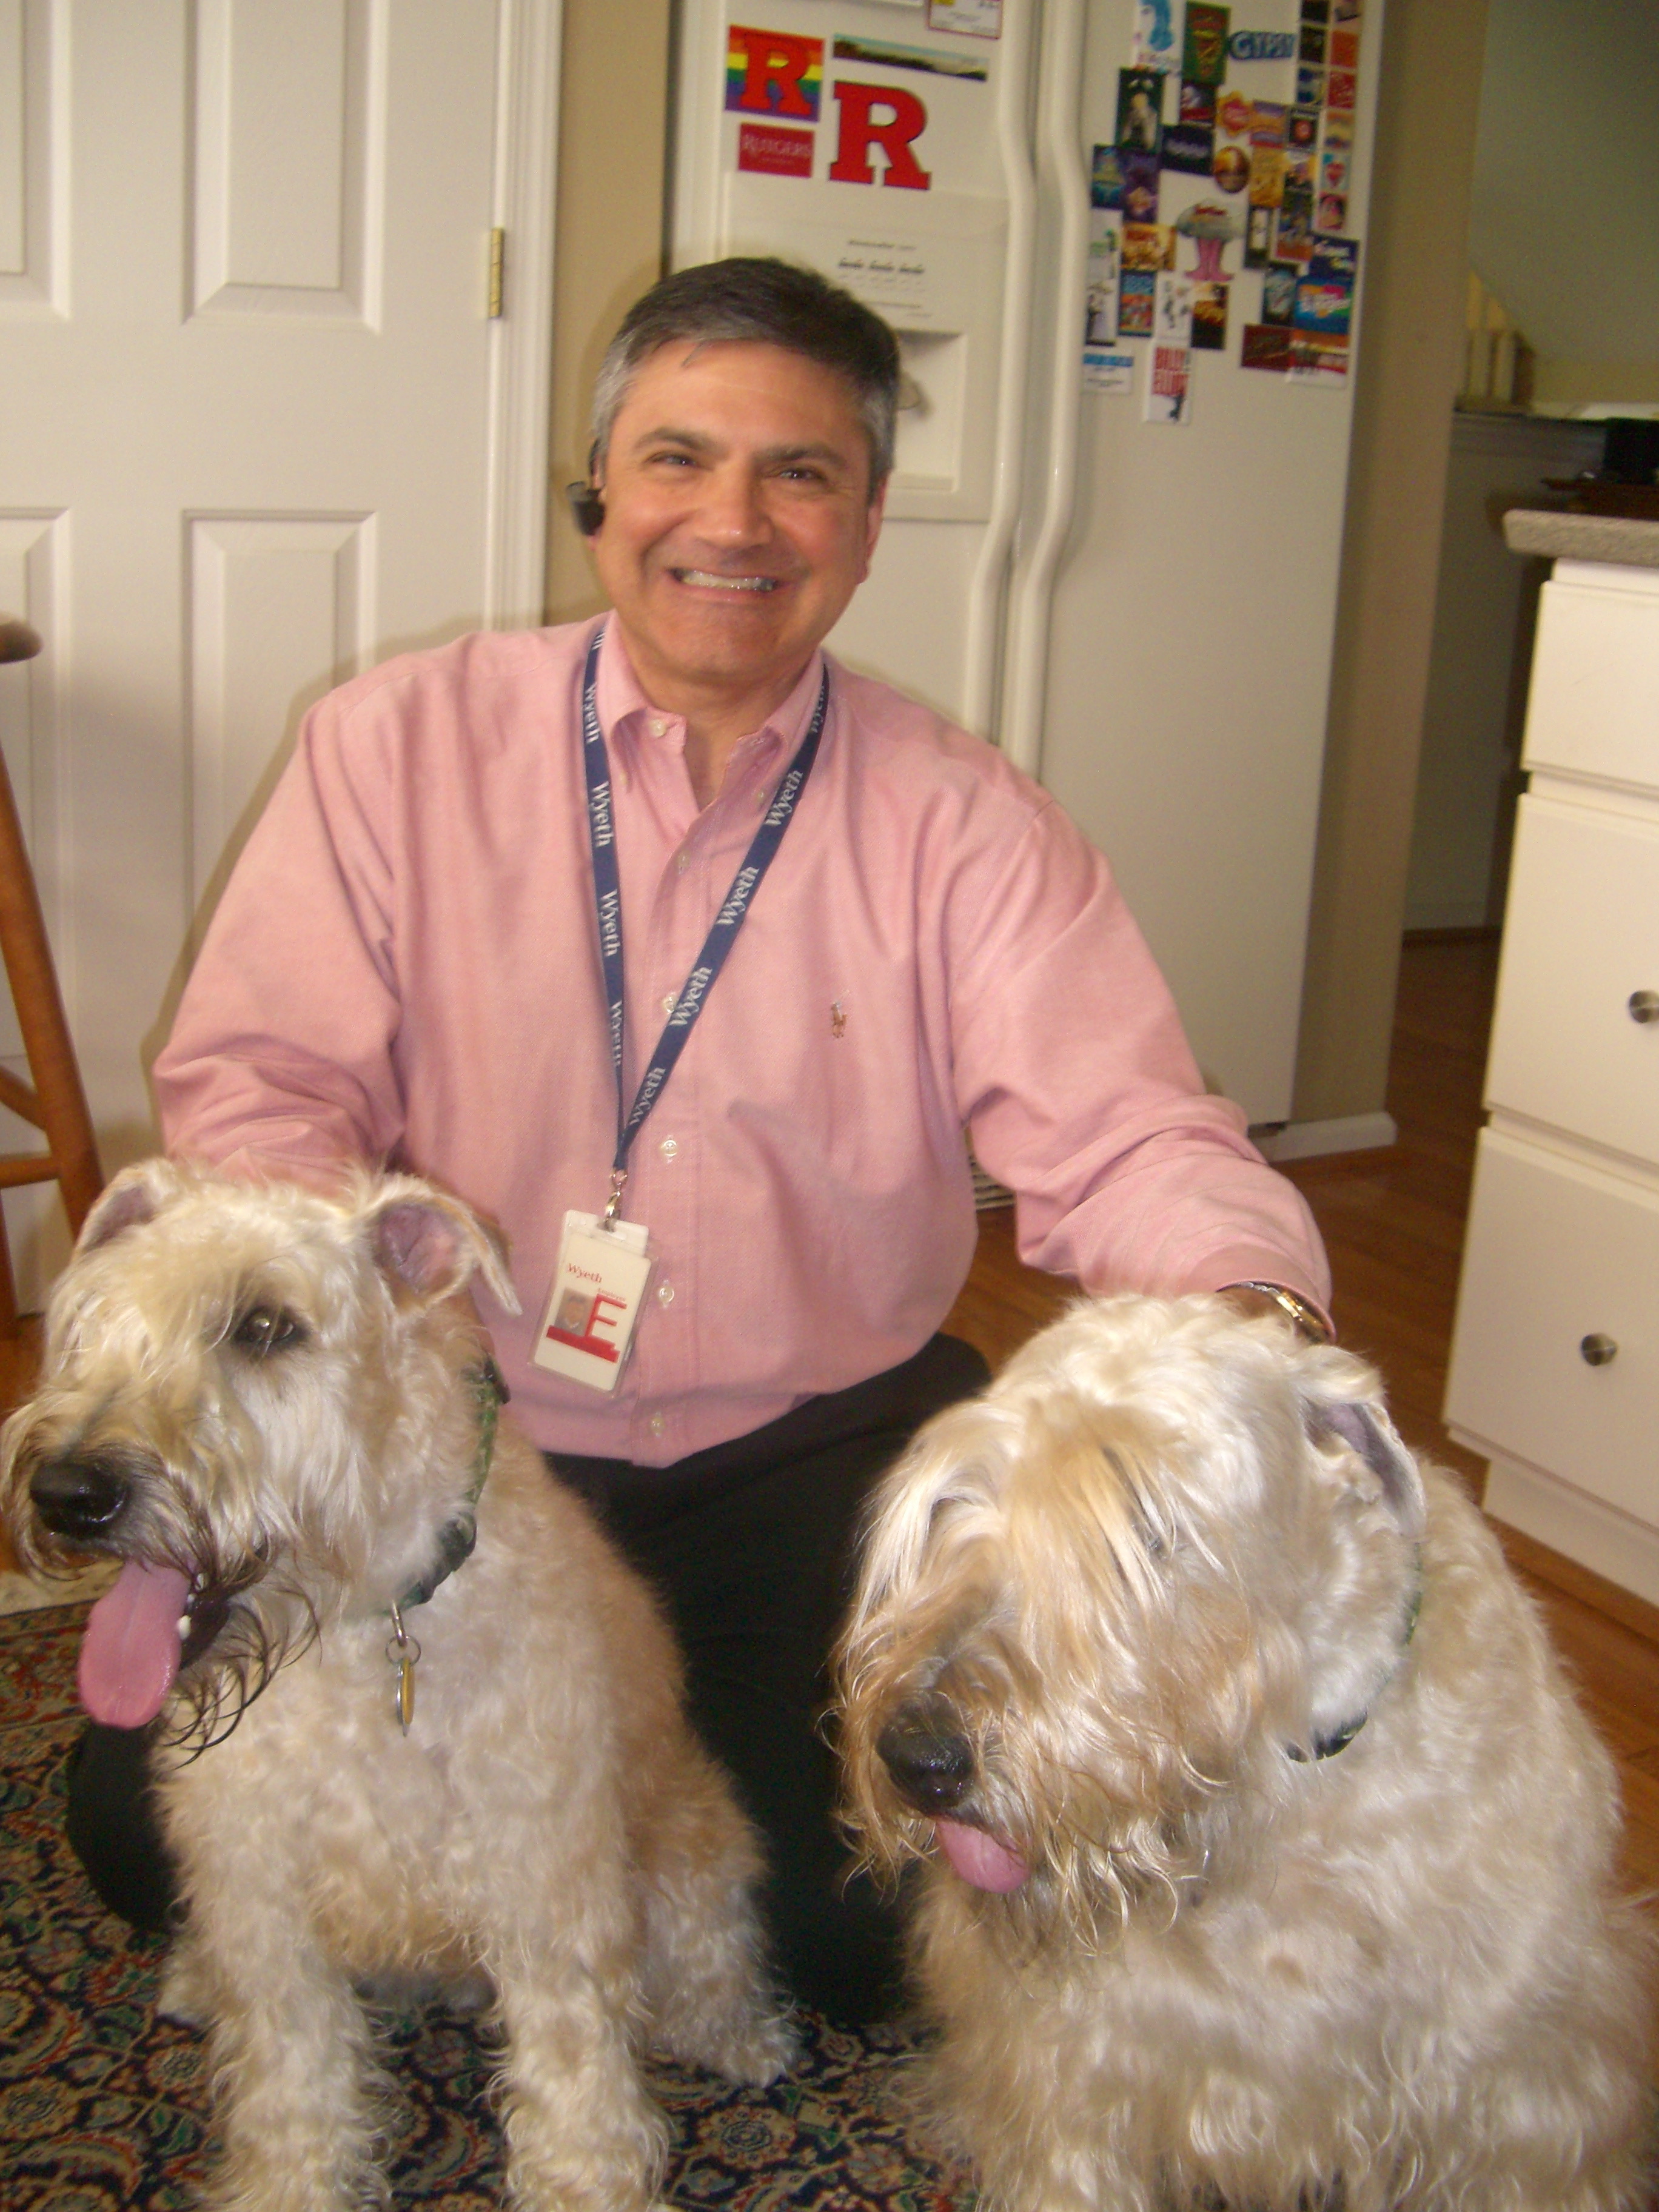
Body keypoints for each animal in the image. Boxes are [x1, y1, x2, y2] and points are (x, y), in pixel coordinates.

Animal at [1, 1168, 791, 2203]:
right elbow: (291, 2087)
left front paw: (585, 2186)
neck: (360, 1628)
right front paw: (287, 2185)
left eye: (266, 1326)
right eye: (94, 1317)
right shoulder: (260, 1895)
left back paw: (739, 2039)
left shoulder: (547, 1891)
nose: (70, 1494)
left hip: (692, 1844)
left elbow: (575, 2085)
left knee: (710, 1959)